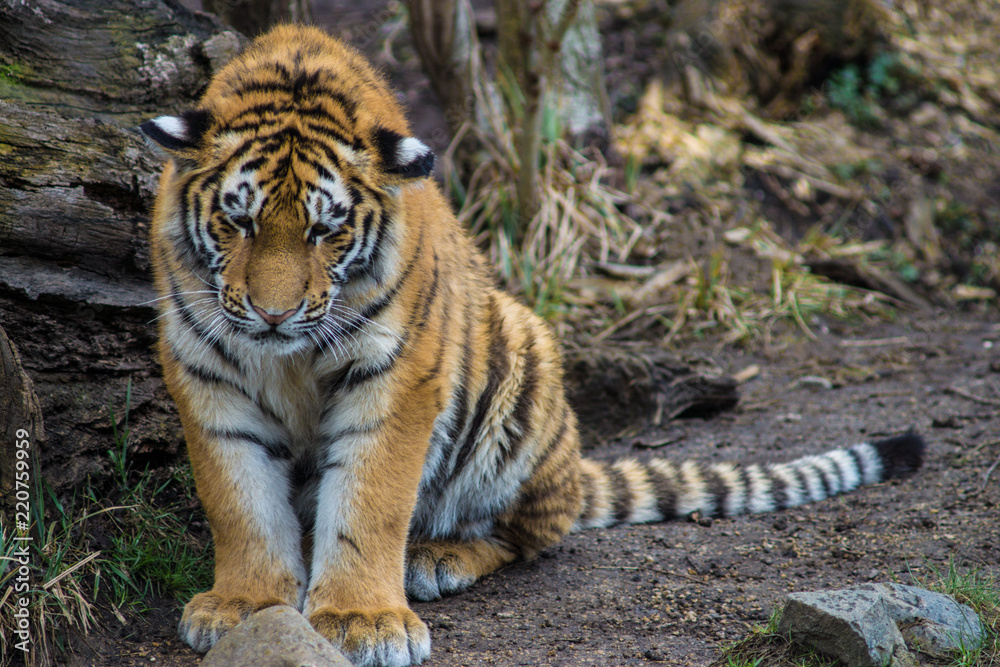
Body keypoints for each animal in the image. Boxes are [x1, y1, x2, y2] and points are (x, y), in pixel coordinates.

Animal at [139, 24, 925, 667]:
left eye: (324, 231)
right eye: (239, 222)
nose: (272, 316)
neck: (288, 354)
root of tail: (574, 468)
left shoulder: (397, 375)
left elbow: (370, 502)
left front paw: (364, 619)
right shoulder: (204, 369)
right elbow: (240, 501)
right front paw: (245, 605)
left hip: (523, 355)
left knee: (528, 532)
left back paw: (437, 558)